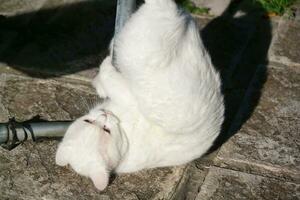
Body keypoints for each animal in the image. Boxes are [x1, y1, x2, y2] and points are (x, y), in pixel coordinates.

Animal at [55, 0, 224, 191]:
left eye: (88, 121)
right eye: (106, 130)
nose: (104, 115)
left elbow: (106, 81)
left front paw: (99, 81)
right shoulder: (126, 97)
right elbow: (109, 78)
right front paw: (103, 75)